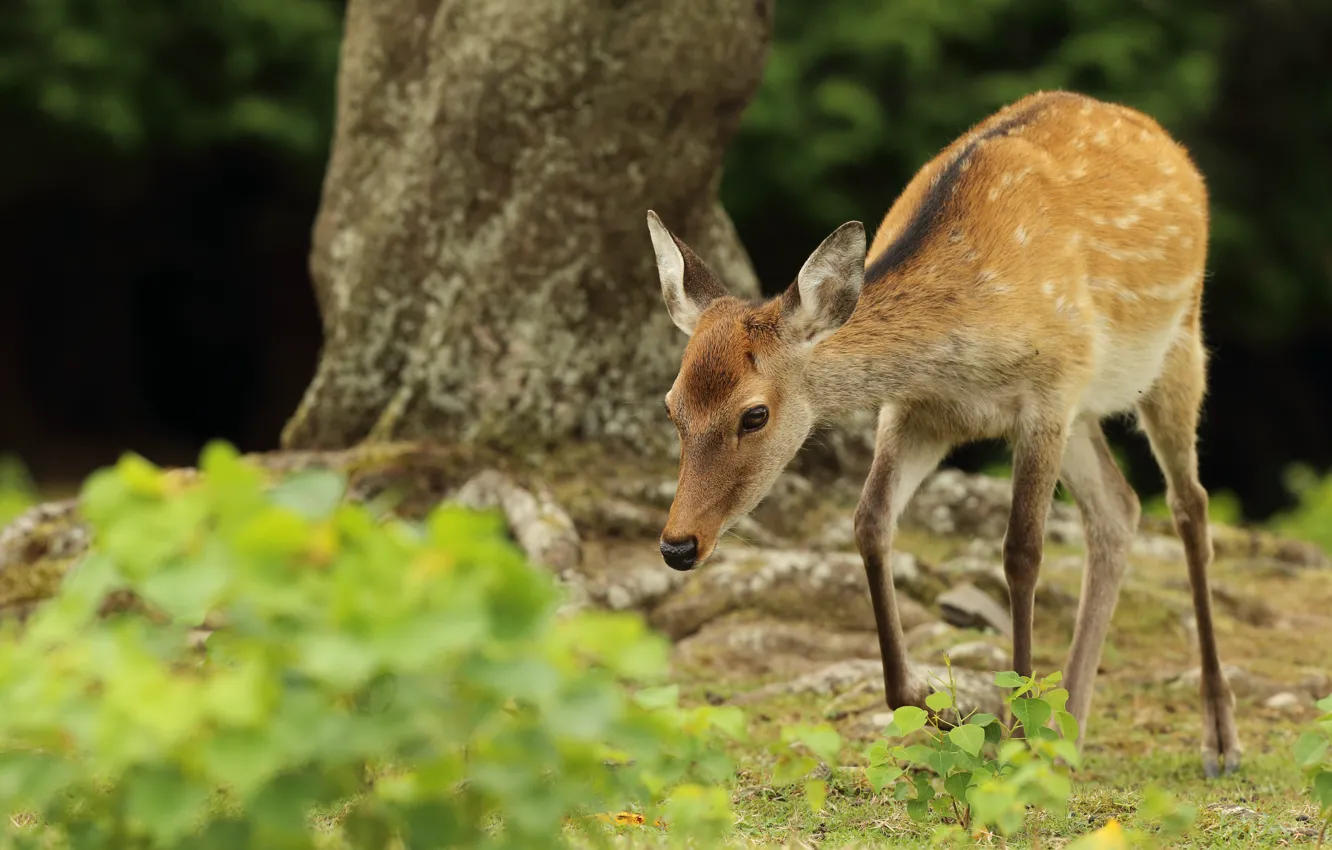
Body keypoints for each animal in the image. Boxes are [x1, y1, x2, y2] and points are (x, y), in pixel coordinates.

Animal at [644, 90, 1240, 777]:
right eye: (671, 406)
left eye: (754, 414)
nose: (678, 545)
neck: (965, 353)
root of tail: (1168, 144)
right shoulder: (919, 412)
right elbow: (870, 523)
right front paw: (949, 711)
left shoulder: (1050, 391)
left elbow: (1021, 552)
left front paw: (1017, 734)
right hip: (1088, 411)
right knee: (1119, 509)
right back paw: (1070, 733)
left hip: (1180, 343)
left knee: (1189, 505)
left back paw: (1218, 740)